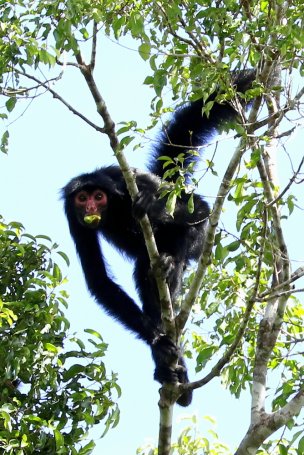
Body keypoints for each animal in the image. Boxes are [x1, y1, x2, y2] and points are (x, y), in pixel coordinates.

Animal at [63, 70, 255, 406]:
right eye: (82, 198)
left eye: (98, 197)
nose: (90, 208)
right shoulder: (71, 216)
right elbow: (99, 282)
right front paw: (157, 341)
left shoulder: (125, 180)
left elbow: (199, 208)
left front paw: (154, 209)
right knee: (143, 274)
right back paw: (169, 368)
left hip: (197, 242)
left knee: (186, 231)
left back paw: (169, 266)